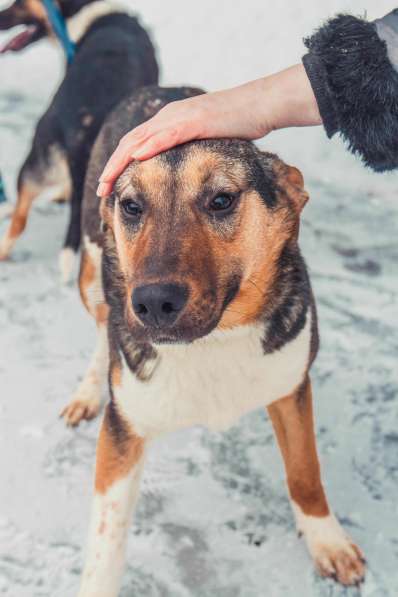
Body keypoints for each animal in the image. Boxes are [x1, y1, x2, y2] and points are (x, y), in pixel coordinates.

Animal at [65, 85, 366, 596]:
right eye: (131, 206)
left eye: (222, 200)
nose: (152, 303)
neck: (215, 340)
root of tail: (160, 90)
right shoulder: (124, 431)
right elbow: (106, 542)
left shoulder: (291, 386)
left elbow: (305, 471)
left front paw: (328, 540)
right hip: (89, 272)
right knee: (102, 327)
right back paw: (88, 389)